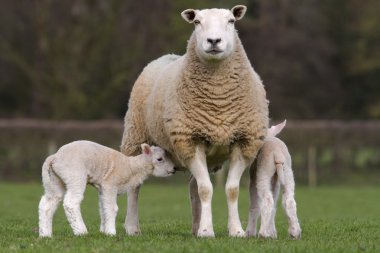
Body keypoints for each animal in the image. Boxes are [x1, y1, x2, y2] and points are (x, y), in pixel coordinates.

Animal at [38, 140, 175, 237]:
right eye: (159, 159)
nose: (173, 169)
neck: (132, 167)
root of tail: (55, 157)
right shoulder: (110, 185)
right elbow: (112, 208)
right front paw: (111, 233)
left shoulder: (102, 188)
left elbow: (103, 208)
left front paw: (104, 232)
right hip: (75, 175)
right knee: (71, 203)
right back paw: (81, 232)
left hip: (54, 180)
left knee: (47, 203)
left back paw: (45, 234)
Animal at [120, 4, 268, 237]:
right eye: (197, 22)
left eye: (231, 21)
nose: (214, 41)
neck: (218, 98)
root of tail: (168, 56)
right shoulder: (189, 140)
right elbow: (206, 189)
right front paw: (207, 231)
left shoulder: (243, 141)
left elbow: (231, 190)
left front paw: (235, 231)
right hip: (135, 138)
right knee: (135, 186)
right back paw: (133, 227)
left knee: (193, 186)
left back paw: (196, 226)